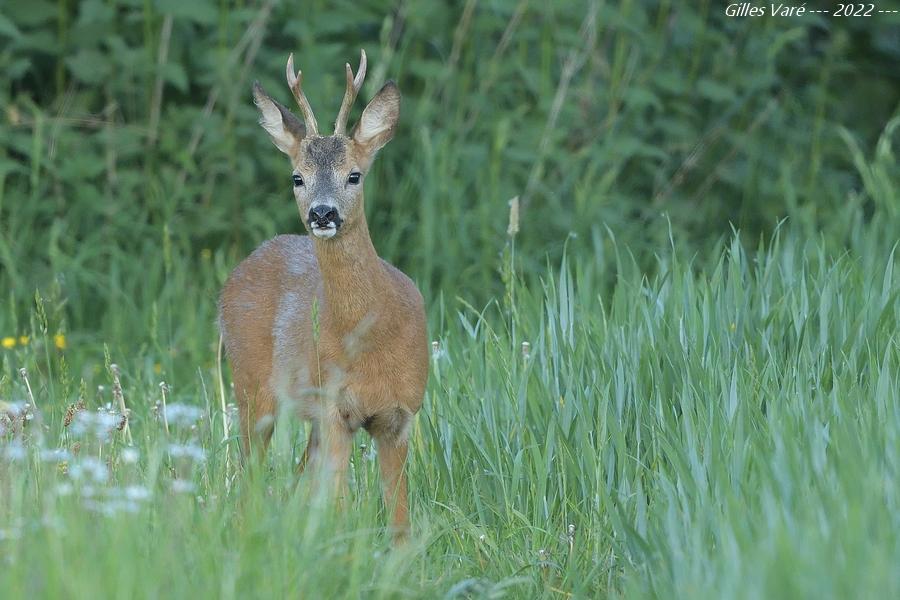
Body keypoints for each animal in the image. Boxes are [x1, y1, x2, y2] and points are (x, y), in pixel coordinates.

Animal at [218, 50, 428, 540]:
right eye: (297, 177)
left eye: (354, 175)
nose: (323, 213)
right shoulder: (335, 409)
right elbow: (339, 509)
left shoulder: (400, 415)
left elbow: (400, 524)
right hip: (251, 386)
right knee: (251, 479)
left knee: (296, 479)